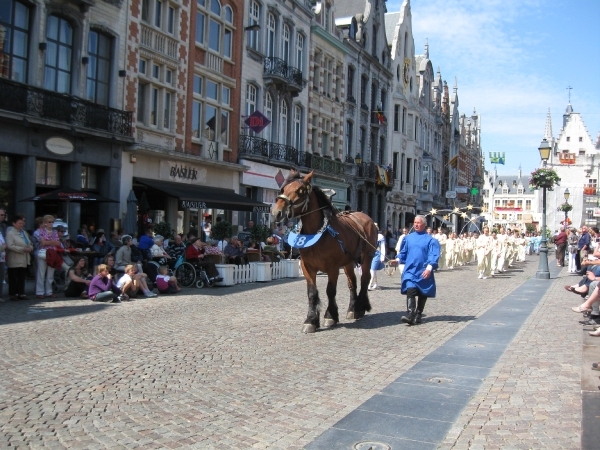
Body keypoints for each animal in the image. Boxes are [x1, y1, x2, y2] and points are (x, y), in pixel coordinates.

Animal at [274, 171, 378, 332]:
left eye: (301, 191)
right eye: (284, 189)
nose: (277, 212)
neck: (317, 233)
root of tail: (365, 217)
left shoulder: (333, 268)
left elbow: (330, 291)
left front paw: (330, 316)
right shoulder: (307, 267)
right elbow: (312, 292)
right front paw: (311, 320)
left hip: (367, 257)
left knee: (365, 279)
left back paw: (360, 307)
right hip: (348, 262)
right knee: (352, 283)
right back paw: (352, 308)